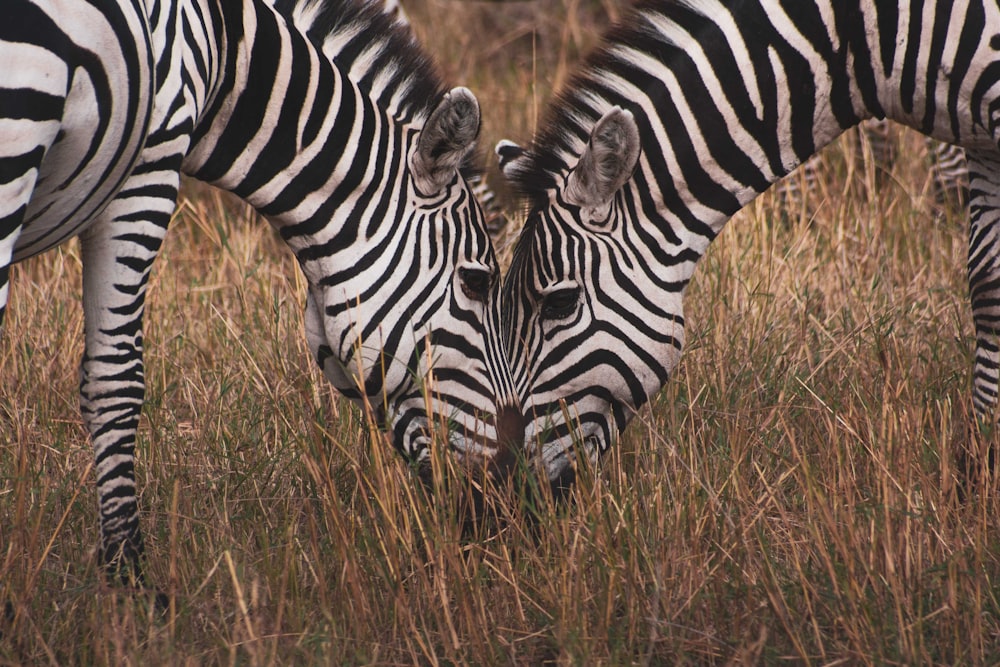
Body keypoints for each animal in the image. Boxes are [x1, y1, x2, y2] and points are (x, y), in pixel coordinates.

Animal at [3, 0, 524, 588]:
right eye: (478, 281)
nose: (505, 499)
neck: (224, 50)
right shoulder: (147, 161)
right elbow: (116, 377)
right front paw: (128, 576)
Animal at [498, 0, 1000, 490]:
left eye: (560, 303)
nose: (513, 485)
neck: (866, 38)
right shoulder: (982, 144)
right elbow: (987, 285)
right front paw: (978, 468)